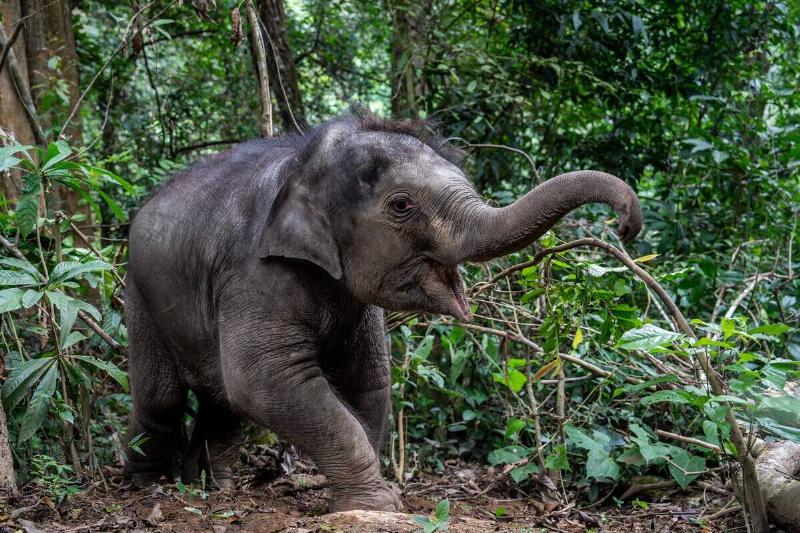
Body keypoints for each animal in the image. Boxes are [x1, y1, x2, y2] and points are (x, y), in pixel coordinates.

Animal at [123, 111, 642, 512]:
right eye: (402, 205)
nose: (625, 223)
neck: (301, 164)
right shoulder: (254, 273)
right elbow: (262, 379)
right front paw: (377, 504)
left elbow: (368, 379)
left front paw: (367, 497)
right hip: (138, 291)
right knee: (163, 395)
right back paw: (148, 486)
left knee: (221, 402)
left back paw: (215, 487)